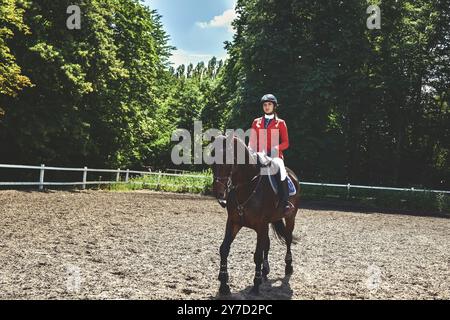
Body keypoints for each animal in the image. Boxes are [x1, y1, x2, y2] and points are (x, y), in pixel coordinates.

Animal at [210, 134, 300, 296]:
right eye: (212, 160)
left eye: (228, 160)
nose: (218, 193)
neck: (247, 186)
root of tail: (292, 174)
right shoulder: (234, 222)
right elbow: (224, 249)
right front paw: (224, 285)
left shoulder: (261, 225)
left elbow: (257, 254)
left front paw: (256, 285)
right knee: (268, 243)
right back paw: (265, 270)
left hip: (290, 217)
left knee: (288, 238)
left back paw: (288, 267)